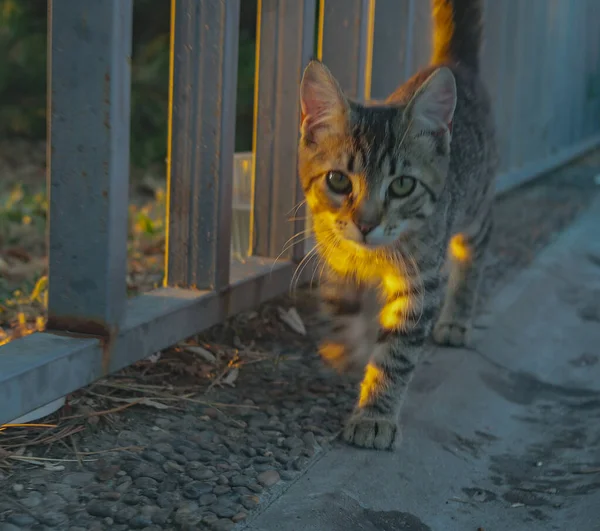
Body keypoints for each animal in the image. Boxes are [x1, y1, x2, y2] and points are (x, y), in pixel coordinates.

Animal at [296, 0, 496, 450]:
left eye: (403, 185)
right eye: (338, 180)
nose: (366, 223)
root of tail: (453, 62)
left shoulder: (421, 285)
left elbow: (397, 354)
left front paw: (374, 414)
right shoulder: (334, 254)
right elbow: (339, 302)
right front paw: (346, 350)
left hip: (475, 206)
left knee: (477, 248)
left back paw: (457, 318)